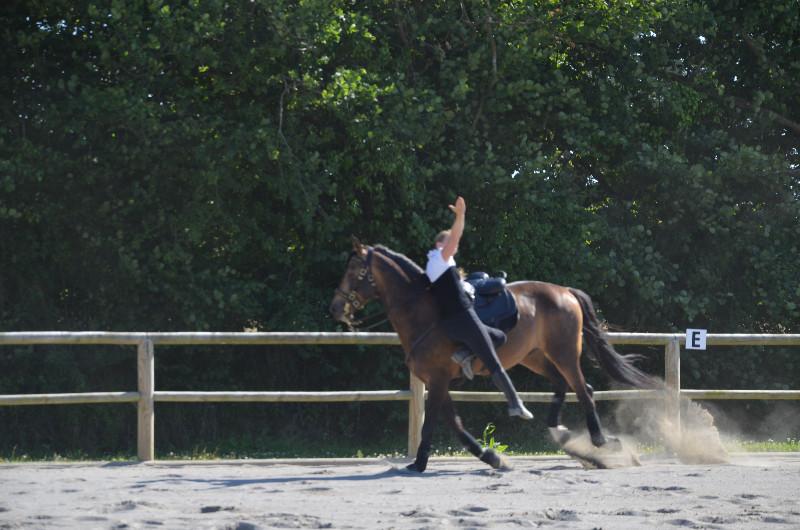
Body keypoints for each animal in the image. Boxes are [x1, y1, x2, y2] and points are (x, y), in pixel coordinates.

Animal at [328, 237, 660, 468]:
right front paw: (490, 456)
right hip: (534, 356)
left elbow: (433, 422)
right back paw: (562, 433)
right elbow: (455, 425)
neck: (424, 311)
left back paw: (601, 441)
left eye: (355, 270)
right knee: (567, 385)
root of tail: (565, 291)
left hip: (564, 353)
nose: (336, 307)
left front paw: (420, 463)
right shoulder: (437, 381)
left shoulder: (437, 379)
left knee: (583, 391)